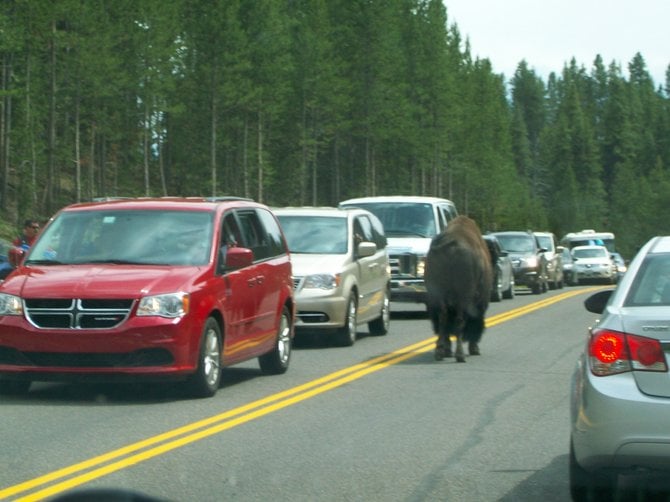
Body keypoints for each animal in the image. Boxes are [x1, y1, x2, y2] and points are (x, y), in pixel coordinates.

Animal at [426, 215, 494, 360]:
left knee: (442, 318)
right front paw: (474, 348)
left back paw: (440, 352)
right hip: (463, 297)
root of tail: (450, 246)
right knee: (459, 320)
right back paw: (460, 355)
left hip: (437, 294)